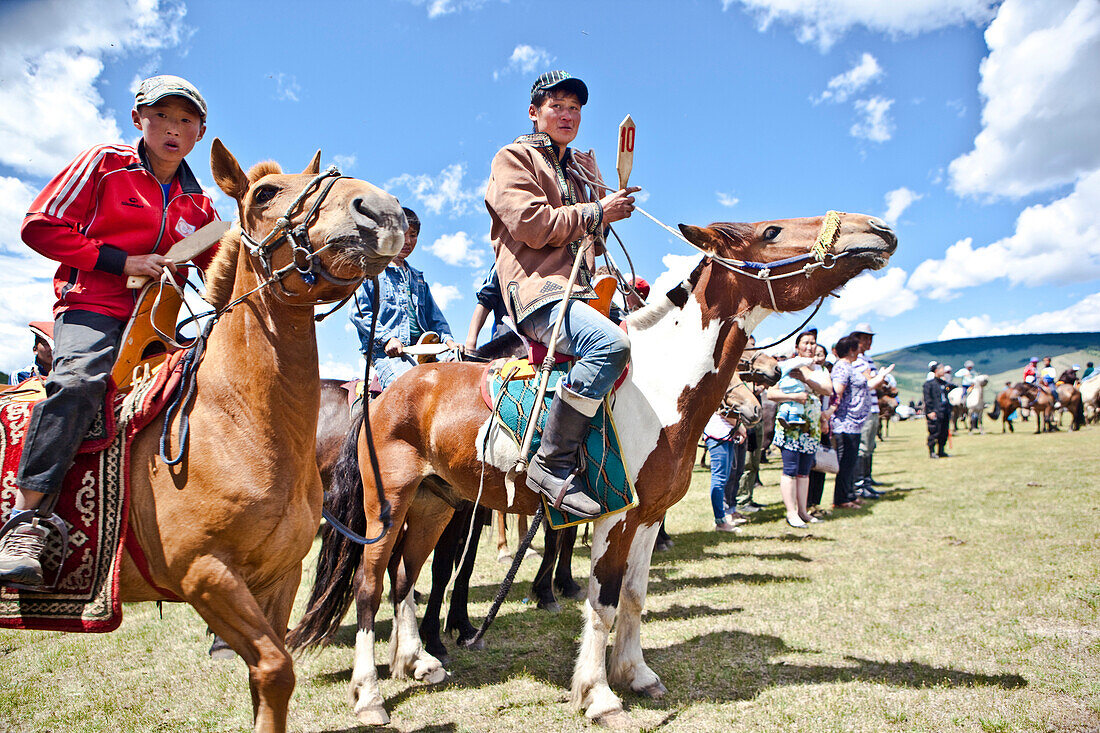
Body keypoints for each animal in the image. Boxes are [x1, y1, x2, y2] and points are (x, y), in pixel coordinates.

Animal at [117, 138, 409, 730]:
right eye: (265, 194)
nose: (381, 209)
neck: (238, 426)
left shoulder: (280, 577)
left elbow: (268, 682)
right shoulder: (205, 575)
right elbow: (276, 668)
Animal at [288, 211, 897, 726]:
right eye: (772, 231)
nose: (877, 229)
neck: (658, 386)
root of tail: (389, 391)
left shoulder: (647, 518)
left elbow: (634, 597)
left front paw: (636, 673)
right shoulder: (613, 515)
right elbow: (601, 602)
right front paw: (599, 694)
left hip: (434, 503)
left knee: (404, 578)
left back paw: (418, 661)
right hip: (385, 506)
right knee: (369, 586)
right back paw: (370, 695)